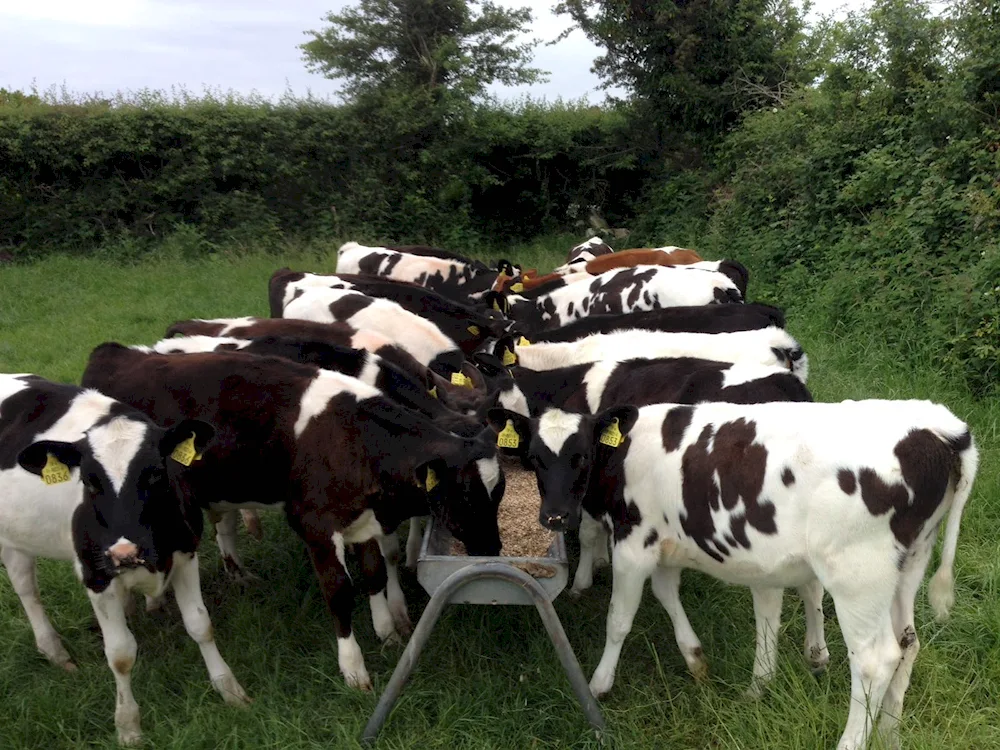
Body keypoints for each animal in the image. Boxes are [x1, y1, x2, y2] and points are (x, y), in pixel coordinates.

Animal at [0, 376, 248, 748]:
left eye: (157, 474)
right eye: (88, 481)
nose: (124, 553)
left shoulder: (185, 553)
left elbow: (200, 625)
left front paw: (229, 690)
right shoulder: (96, 576)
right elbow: (119, 654)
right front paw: (128, 726)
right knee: (26, 589)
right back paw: (56, 652)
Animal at [492, 400, 976, 750]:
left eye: (582, 455)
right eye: (533, 458)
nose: (554, 516)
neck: (624, 454)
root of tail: (937, 427)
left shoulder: (633, 541)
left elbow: (619, 620)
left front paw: (599, 684)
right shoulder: (665, 545)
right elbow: (667, 595)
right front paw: (695, 658)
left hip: (858, 575)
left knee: (876, 661)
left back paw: (852, 741)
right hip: (908, 565)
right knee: (908, 644)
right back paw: (890, 734)